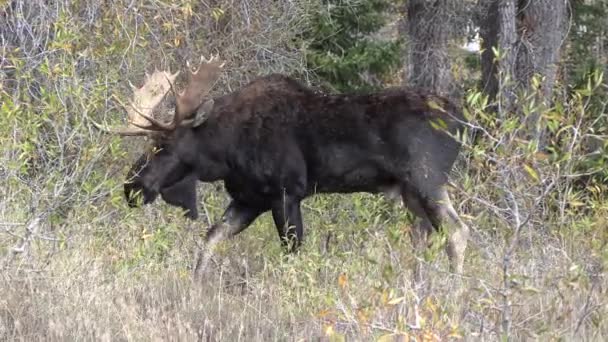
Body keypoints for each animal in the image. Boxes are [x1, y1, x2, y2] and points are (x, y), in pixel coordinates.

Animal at [98, 54, 470, 278]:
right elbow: (210, 239)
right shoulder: (249, 199)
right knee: (430, 236)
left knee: (457, 231)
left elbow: (292, 251)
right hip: (410, 193)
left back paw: (454, 289)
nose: (131, 186)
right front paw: (196, 284)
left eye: (163, 145)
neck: (224, 152)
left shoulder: (286, 193)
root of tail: (465, 122)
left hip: (426, 180)